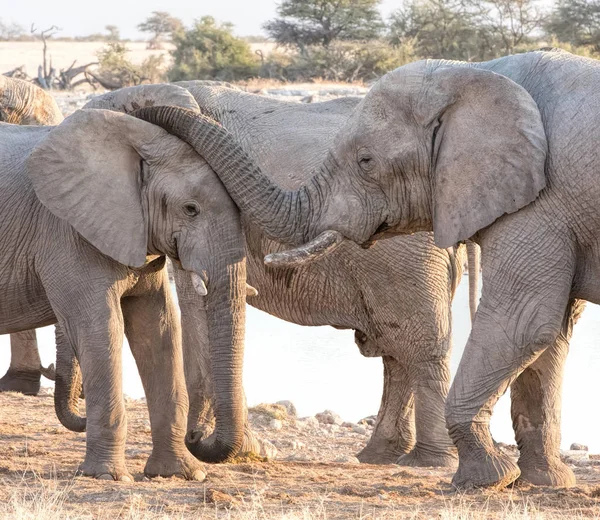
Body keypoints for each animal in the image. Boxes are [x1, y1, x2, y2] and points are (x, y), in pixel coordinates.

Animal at [0, 83, 258, 482]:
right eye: (191, 209)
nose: (198, 436)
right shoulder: (65, 232)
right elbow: (100, 326)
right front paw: (108, 477)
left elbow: (159, 327)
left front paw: (180, 474)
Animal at [138, 48, 596, 488]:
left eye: (365, 161)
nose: (199, 440)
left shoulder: (539, 205)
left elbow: (528, 320)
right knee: (397, 347)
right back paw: (383, 457)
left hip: (410, 257)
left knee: (420, 343)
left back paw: (429, 463)